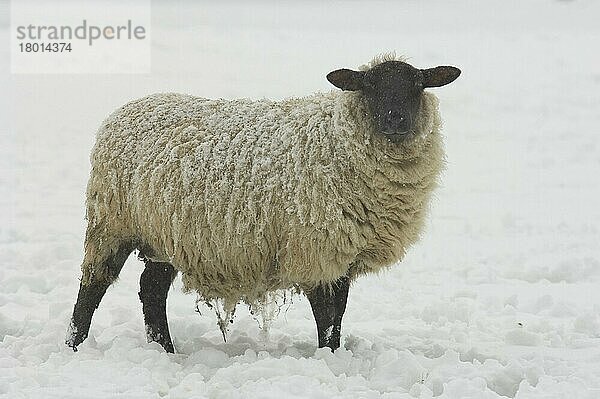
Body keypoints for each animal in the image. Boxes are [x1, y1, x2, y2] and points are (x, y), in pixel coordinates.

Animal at [64, 53, 460, 354]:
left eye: (417, 86)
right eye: (370, 87)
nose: (396, 120)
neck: (338, 140)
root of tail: (124, 110)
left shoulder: (341, 255)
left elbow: (339, 313)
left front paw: (334, 355)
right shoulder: (313, 248)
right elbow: (325, 315)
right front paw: (329, 359)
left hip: (166, 235)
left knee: (151, 289)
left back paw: (166, 350)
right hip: (111, 222)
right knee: (93, 285)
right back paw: (74, 345)